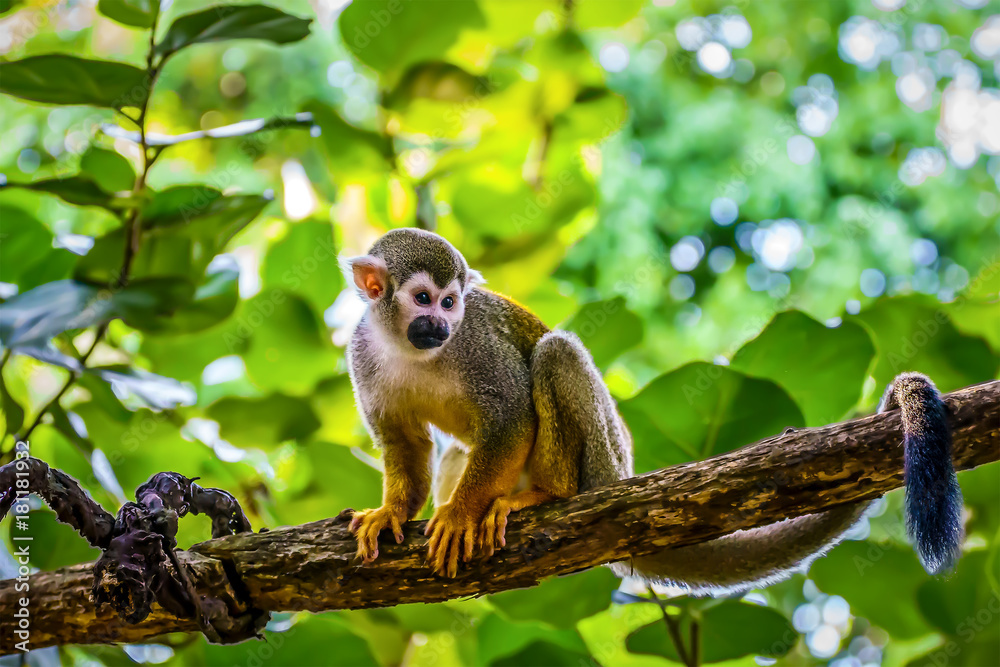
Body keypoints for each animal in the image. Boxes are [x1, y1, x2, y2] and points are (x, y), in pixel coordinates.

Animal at [344, 230, 960, 588]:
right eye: (423, 299)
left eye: (452, 303)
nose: (440, 324)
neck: (410, 348)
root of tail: (623, 473)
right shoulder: (362, 354)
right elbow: (403, 442)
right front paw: (392, 513)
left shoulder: (475, 344)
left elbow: (511, 416)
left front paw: (458, 515)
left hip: (603, 460)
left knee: (555, 352)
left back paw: (546, 494)